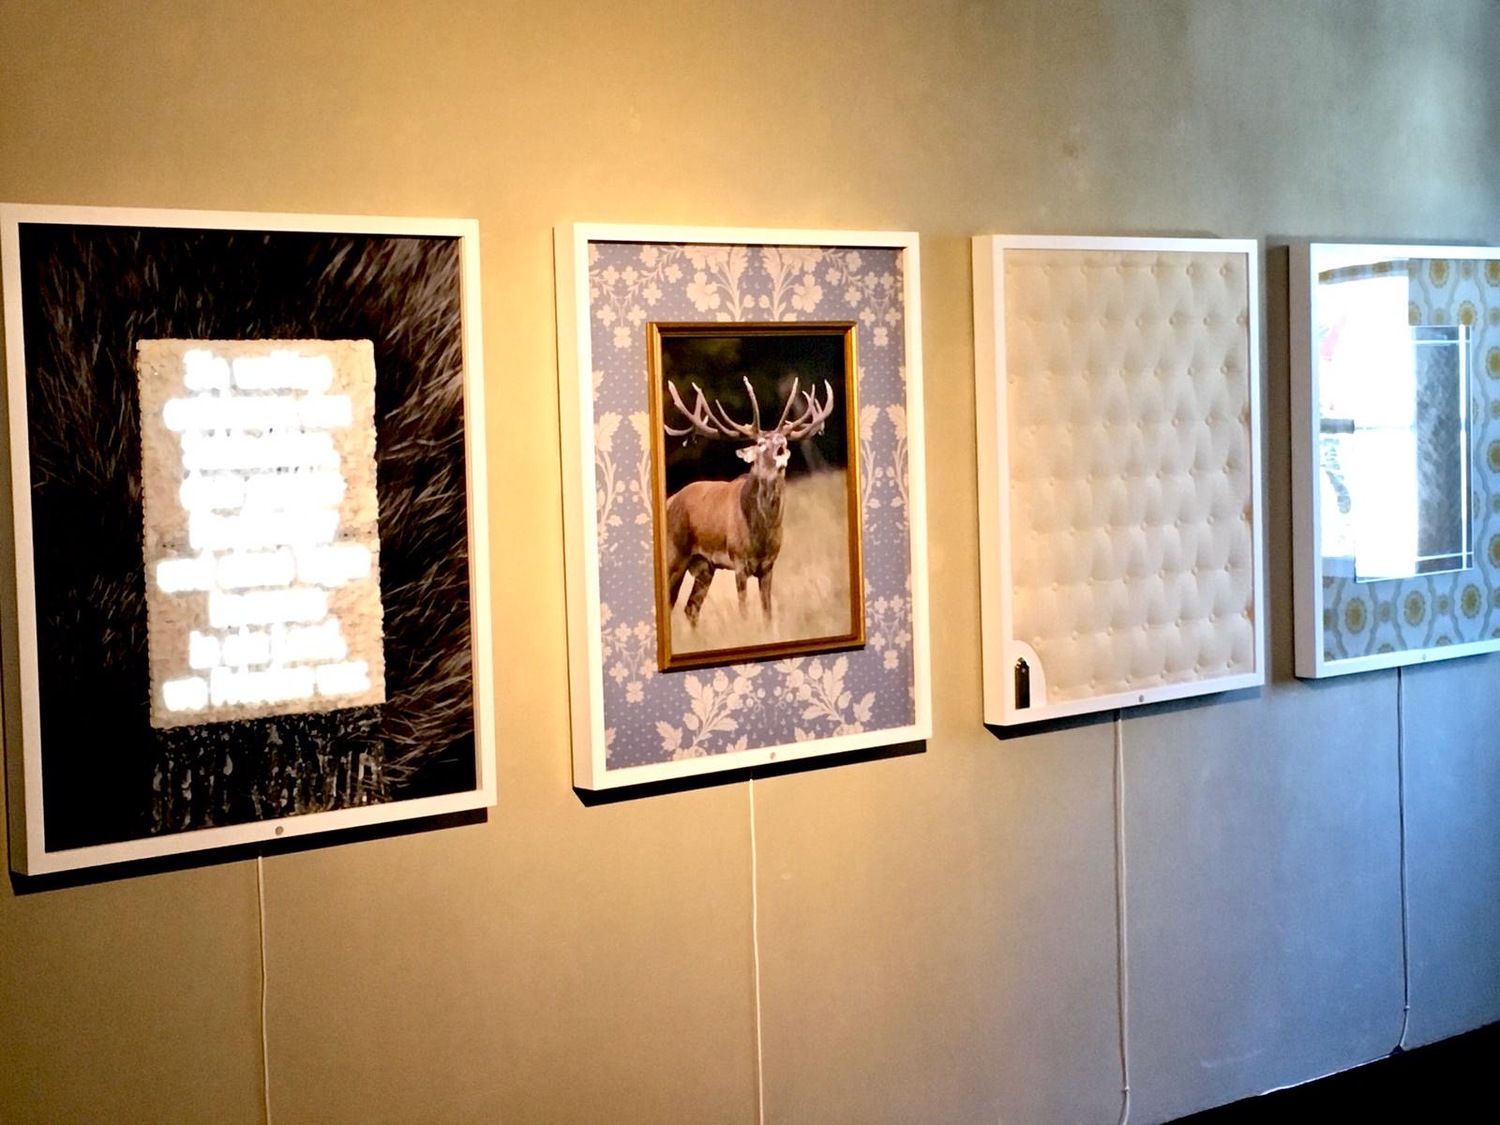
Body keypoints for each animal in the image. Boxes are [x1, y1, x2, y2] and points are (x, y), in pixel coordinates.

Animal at [662, 375, 836, 629]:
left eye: (784, 439)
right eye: (761, 443)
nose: (781, 447)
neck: (760, 535)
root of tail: (669, 501)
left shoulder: (769, 565)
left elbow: (767, 613)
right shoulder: (739, 560)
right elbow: (743, 611)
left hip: (704, 566)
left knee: (691, 608)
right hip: (675, 554)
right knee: (672, 603)